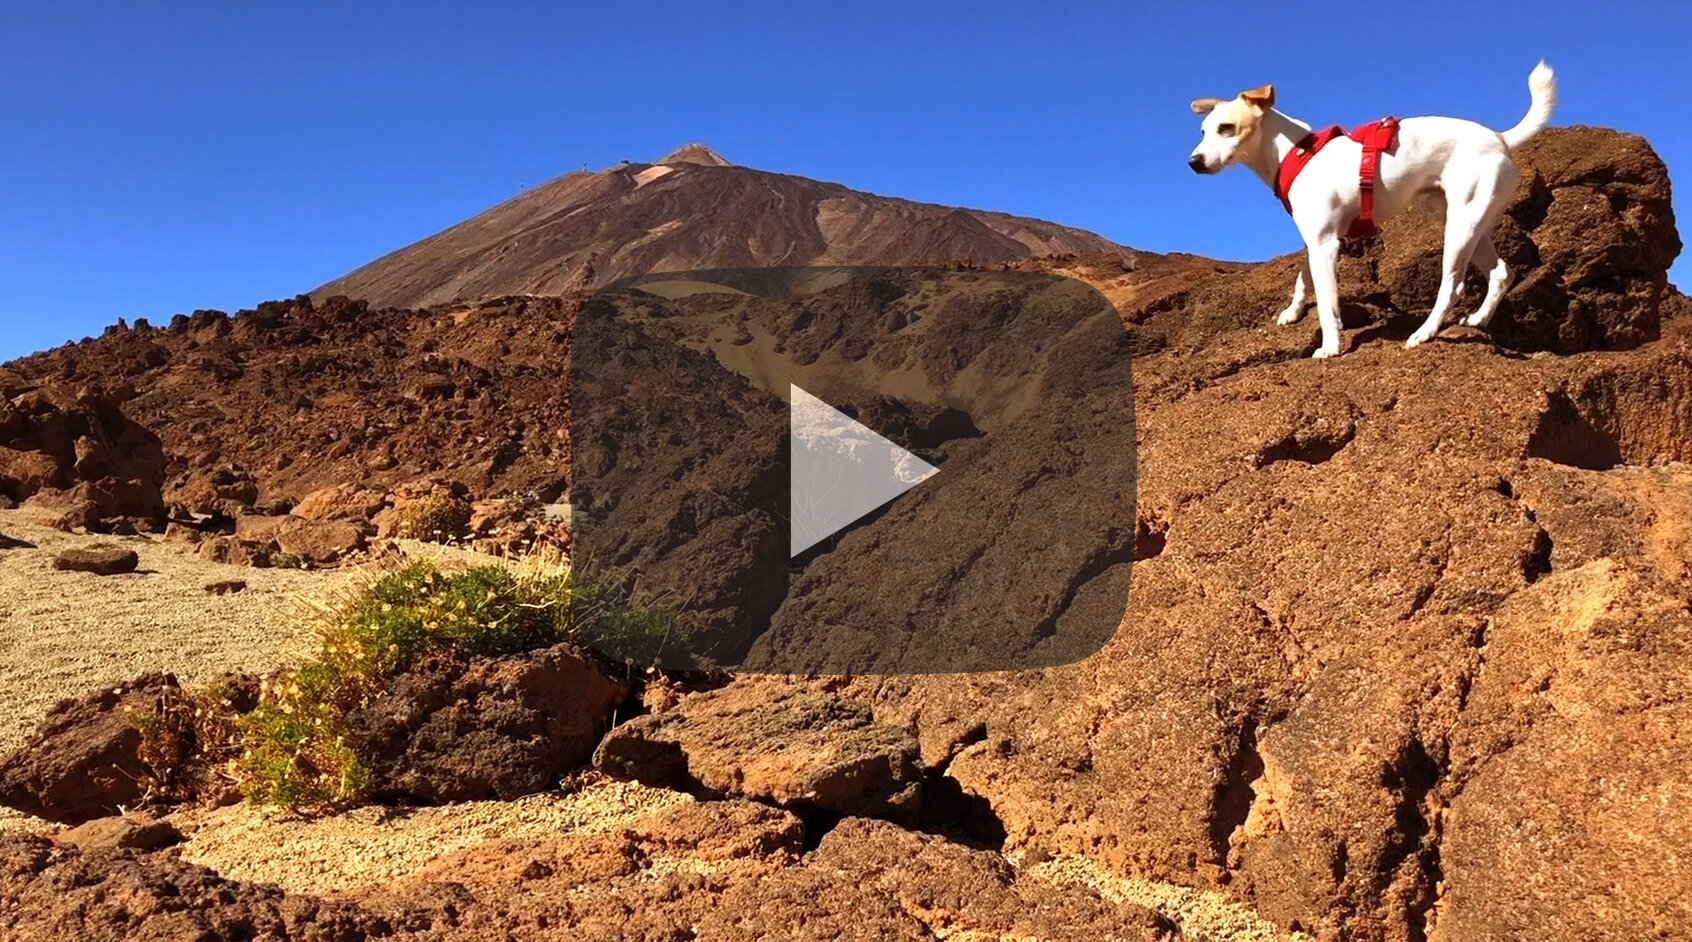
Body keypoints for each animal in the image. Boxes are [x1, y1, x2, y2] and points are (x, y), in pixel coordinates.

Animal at [1191, 61, 1556, 356]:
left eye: (1227, 129)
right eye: (1204, 131)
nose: (1193, 162)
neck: (1295, 152)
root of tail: (1500, 138)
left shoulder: (1325, 245)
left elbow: (1326, 301)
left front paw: (1331, 346)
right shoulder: (1314, 241)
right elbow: (1303, 278)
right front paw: (1293, 312)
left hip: (1460, 228)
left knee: (1452, 287)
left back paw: (1423, 334)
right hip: (1466, 222)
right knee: (1501, 273)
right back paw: (1478, 318)